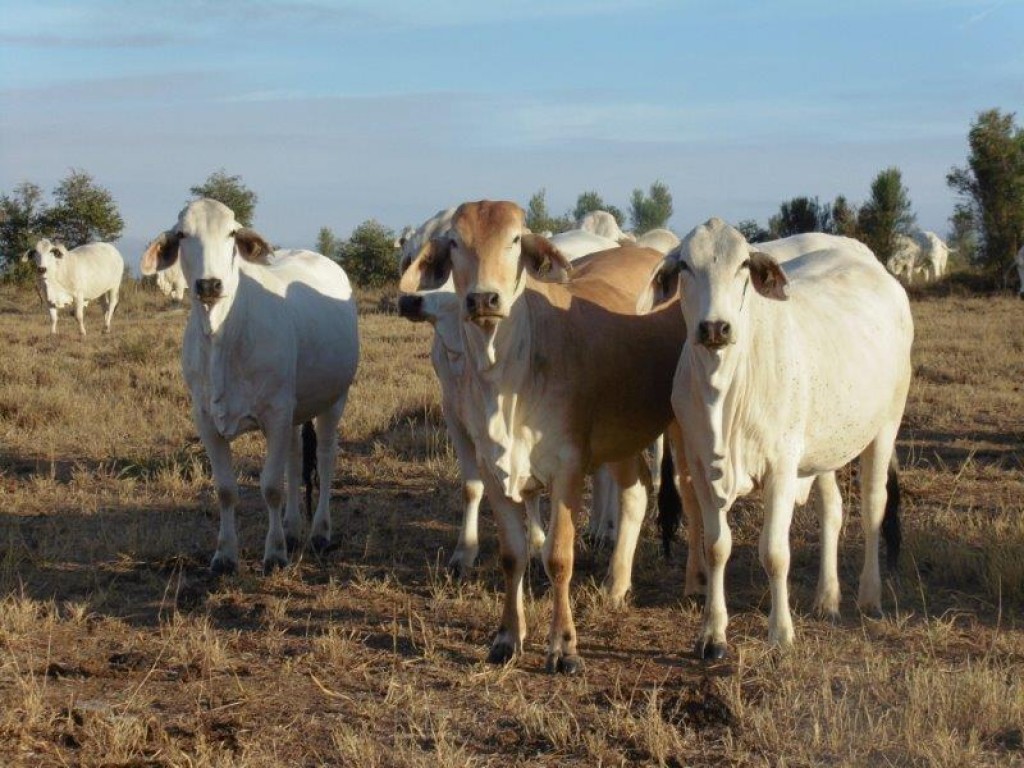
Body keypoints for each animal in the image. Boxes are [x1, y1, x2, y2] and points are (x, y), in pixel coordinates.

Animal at [140, 199, 359, 574]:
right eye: (182, 235)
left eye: (231, 232)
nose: (209, 285)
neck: (222, 333)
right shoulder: (206, 420)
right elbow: (226, 490)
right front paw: (226, 555)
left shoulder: (275, 413)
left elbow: (270, 487)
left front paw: (274, 554)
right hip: (295, 410)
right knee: (294, 458)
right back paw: (292, 528)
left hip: (334, 399)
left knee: (326, 458)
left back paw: (319, 531)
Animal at [399, 200, 703, 674]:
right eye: (455, 244)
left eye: (514, 240)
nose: (483, 299)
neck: (507, 373)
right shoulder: (491, 467)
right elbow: (512, 555)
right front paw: (507, 637)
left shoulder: (568, 467)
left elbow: (559, 558)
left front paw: (564, 646)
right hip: (621, 436)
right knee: (635, 492)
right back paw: (617, 584)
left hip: (679, 429)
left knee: (689, 497)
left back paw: (695, 584)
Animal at [640, 219, 912, 659]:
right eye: (684, 266)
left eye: (742, 266)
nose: (715, 327)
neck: (723, 392)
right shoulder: (701, 467)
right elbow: (716, 547)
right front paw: (712, 634)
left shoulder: (781, 469)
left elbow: (775, 552)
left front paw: (780, 632)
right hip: (822, 450)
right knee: (832, 510)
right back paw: (827, 598)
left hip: (886, 424)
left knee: (874, 505)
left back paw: (870, 597)